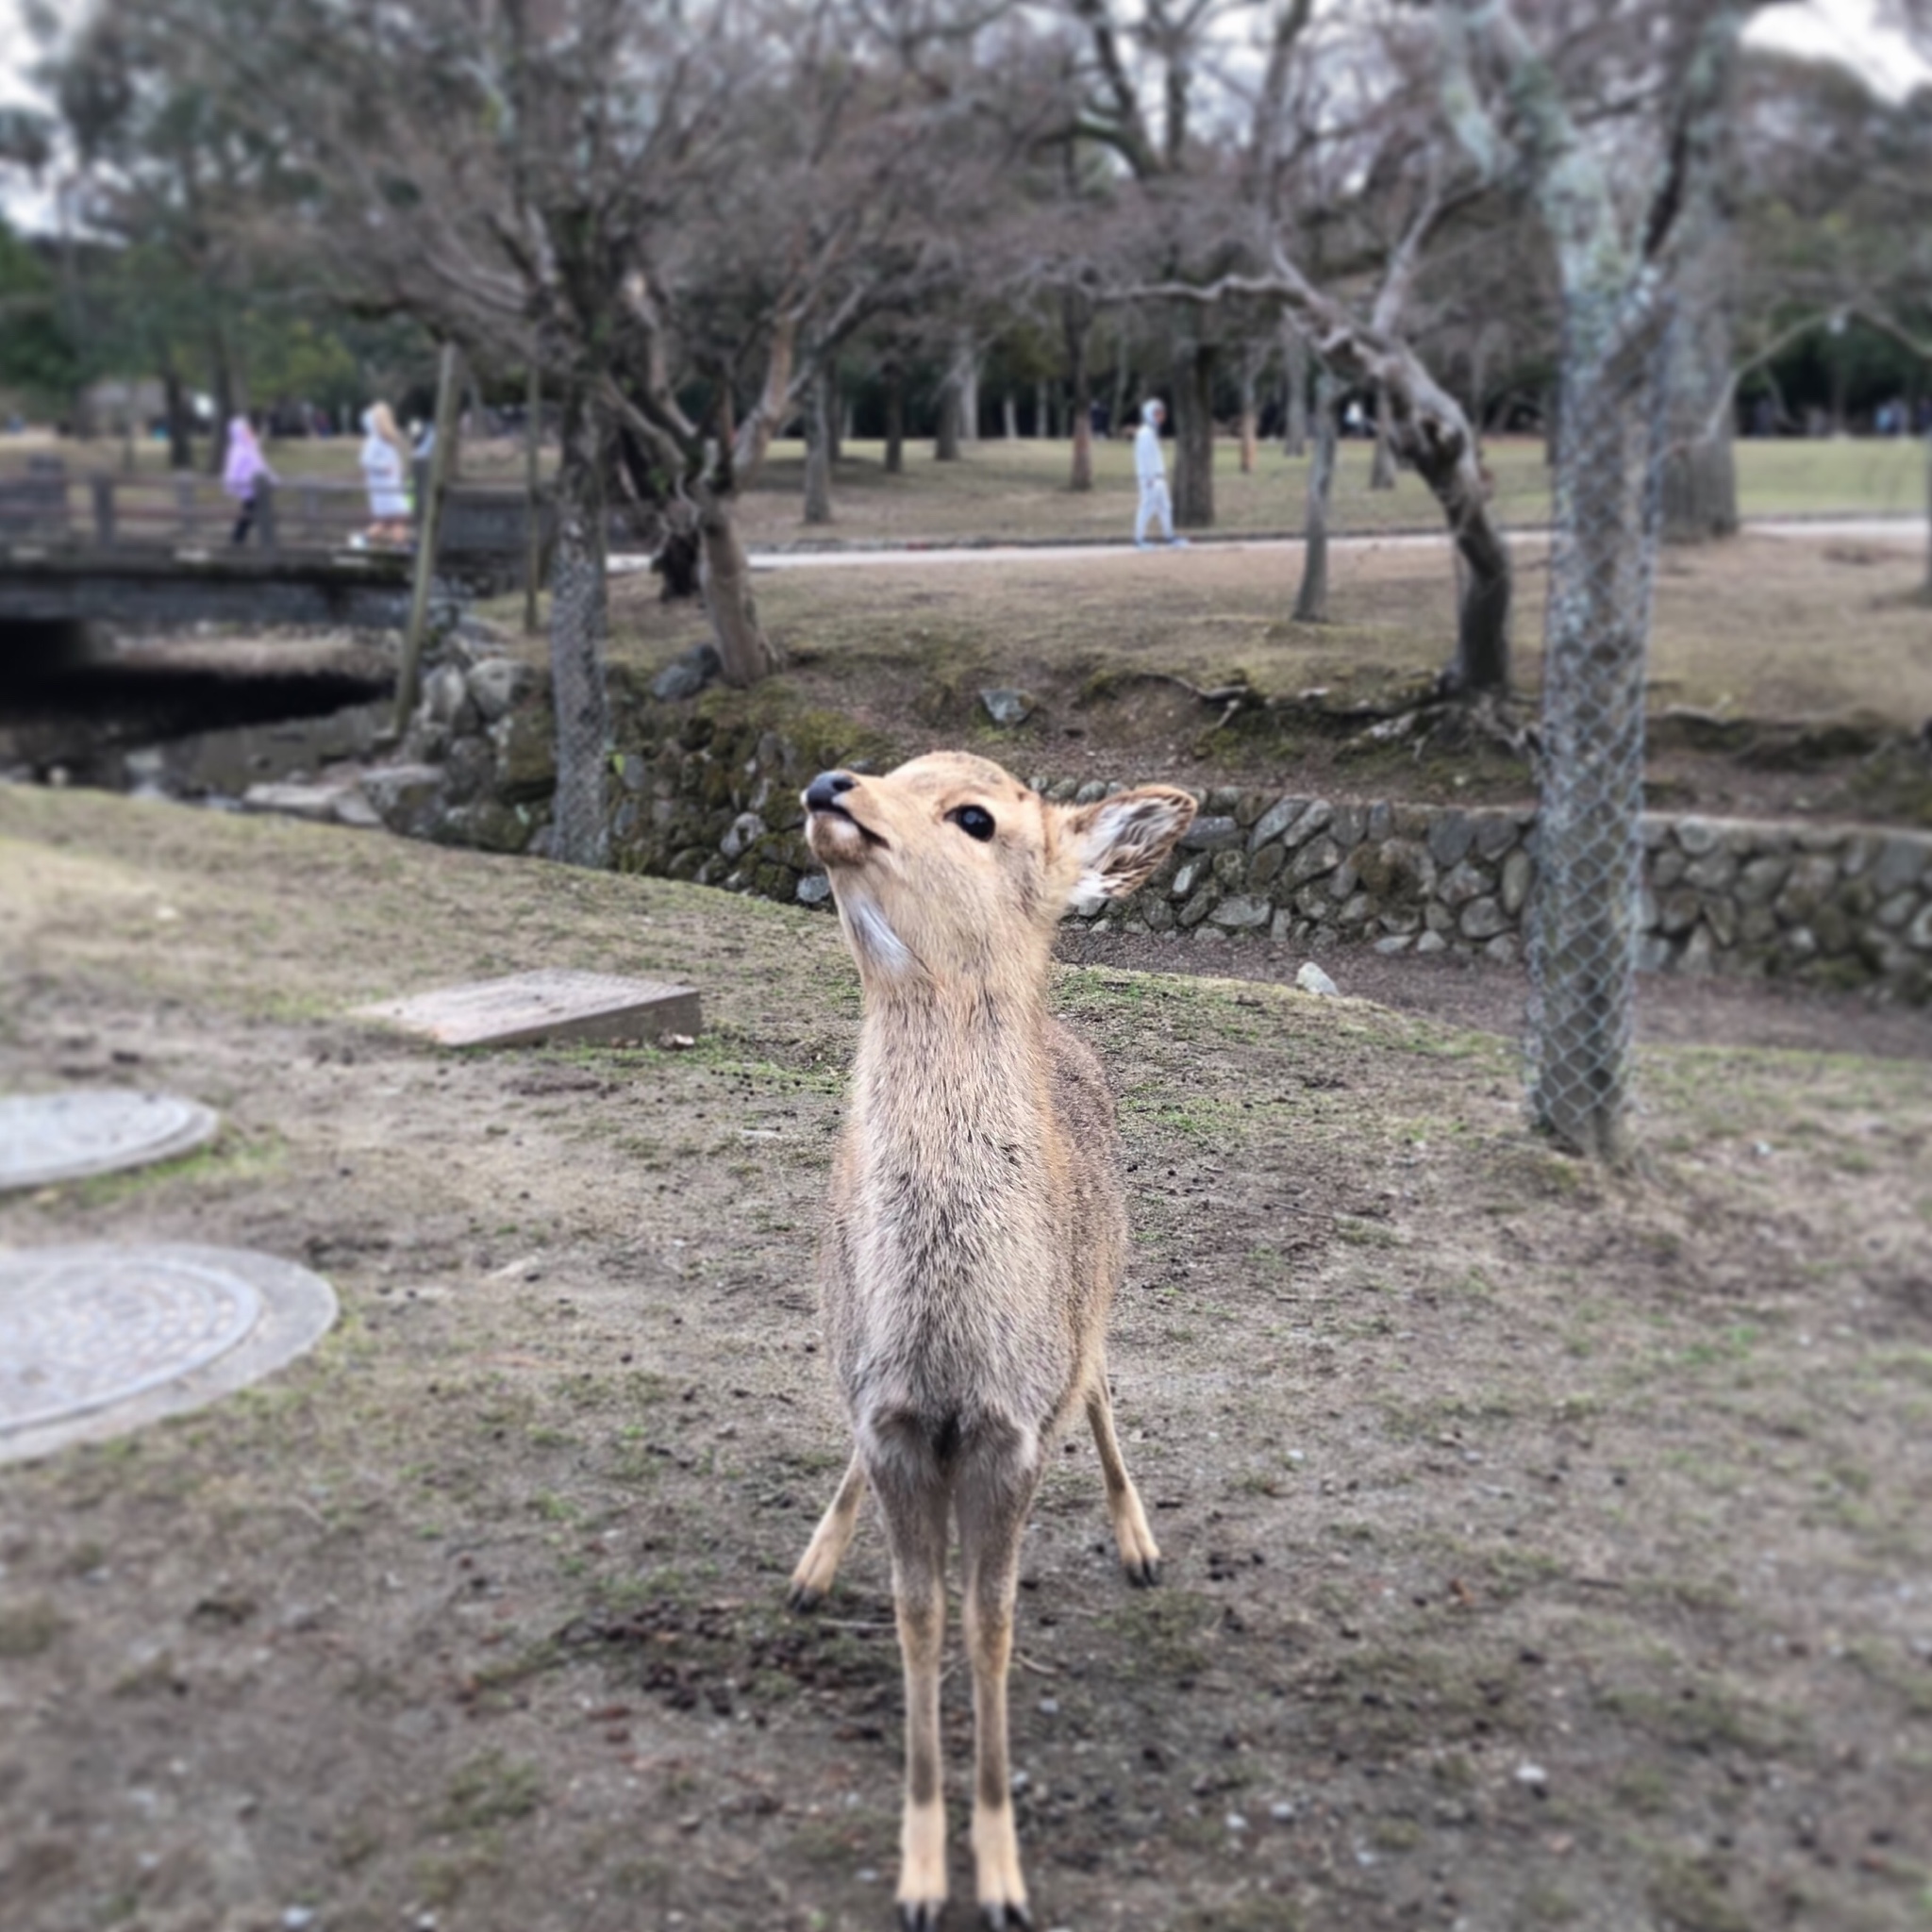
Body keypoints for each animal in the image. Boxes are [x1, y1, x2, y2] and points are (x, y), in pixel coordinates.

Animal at [784, 749, 1190, 1932]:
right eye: (893, 764)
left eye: (975, 816)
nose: (830, 783)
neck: (954, 1351)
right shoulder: (888, 1414)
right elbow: (919, 1615)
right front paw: (923, 1871)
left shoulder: (1014, 1431)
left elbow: (991, 1621)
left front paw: (1001, 1871)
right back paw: (810, 1565)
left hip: (1096, 1300)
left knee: (1101, 1387)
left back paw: (1139, 1541)